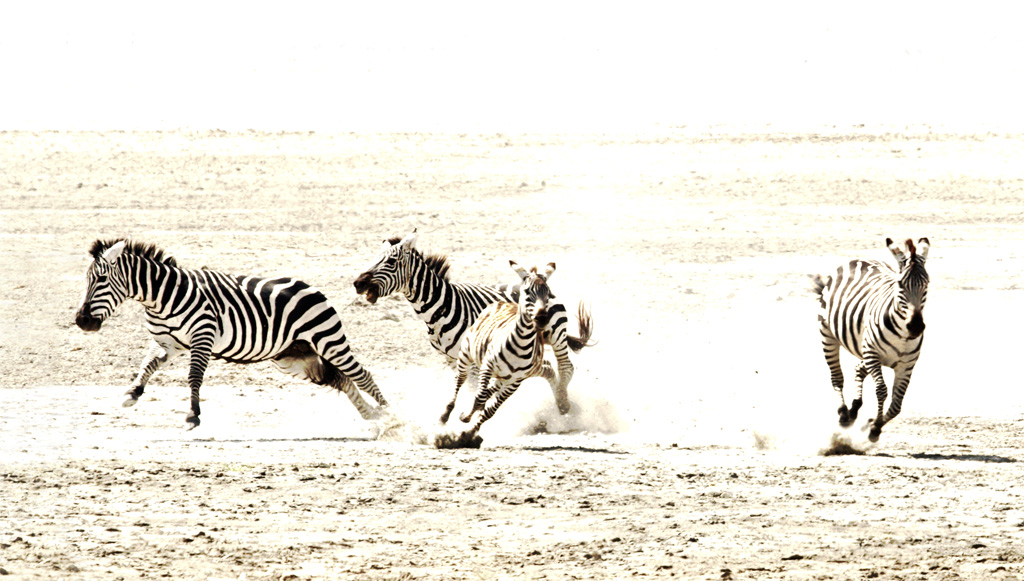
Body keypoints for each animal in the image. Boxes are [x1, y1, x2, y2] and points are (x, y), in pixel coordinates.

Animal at [74, 239, 388, 429]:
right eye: (88, 279)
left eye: (101, 279)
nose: (82, 321)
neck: (162, 297)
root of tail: (312, 288)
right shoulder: (167, 342)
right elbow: (147, 364)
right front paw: (133, 392)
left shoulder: (203, 336)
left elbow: (194, 377)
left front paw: (192, 416)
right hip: (294, 357)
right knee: (341, 379)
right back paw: (374, 419)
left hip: (329, 340)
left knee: (362, 375)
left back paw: (391, 417)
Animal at [352, 231, 593, 414]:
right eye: (375, 258)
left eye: (391, 261)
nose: (357, 283)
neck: (440, 309)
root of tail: (539, 280)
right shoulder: (452, 357)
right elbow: (468, 387)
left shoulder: (475, 354)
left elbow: (479, 388)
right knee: (548, 368)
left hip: (556, 335)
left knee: (566, 368)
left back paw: (563, 405)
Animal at [440, 261, 554, 434]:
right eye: (527, 291)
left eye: (548, 293)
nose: (541, 319)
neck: (521, 344)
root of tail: (502, 301)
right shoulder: (487, 366)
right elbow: (479, 398)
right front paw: (465, 417)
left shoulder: (515, 382)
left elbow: (490, 410)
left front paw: (470, 433)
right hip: (466, 354)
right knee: (460, 380)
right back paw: (446, 414)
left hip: (502, 377)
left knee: (489, 391)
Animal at [812, 237, 930, 442]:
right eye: (900, 285)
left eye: (927, 284)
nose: (915, 327)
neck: (903, 336)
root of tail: (858, 259)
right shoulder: (873, 354)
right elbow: (882, 390)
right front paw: (874, 428)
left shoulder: (907, 365)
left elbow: (897, 403)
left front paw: (874, 424)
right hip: (828, 335)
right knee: (837, 377)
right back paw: (844, 413)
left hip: (865, 348)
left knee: (858, 369)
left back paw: (854, 409)